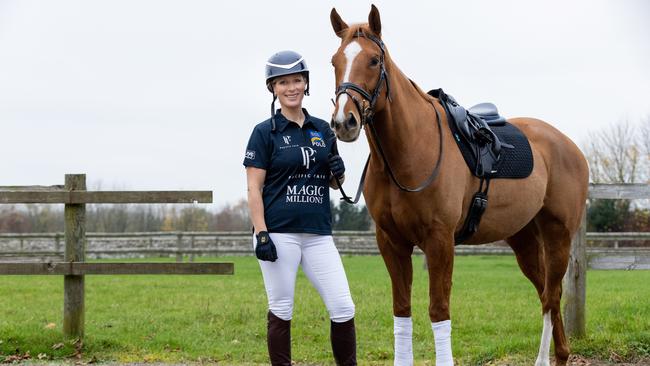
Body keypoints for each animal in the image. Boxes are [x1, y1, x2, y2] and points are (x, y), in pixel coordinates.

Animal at [330, 5, 588, 366]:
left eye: (374, 60)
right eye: (334, 61)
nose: (344, 122)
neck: (411, 149)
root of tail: (568, 145)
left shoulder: (440, 241)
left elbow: (439, 311)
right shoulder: (391, 242)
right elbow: (402, 311)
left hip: (557, 234)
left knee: (551, 297)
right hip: (523, 239)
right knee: (546, 293)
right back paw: (562, 354)